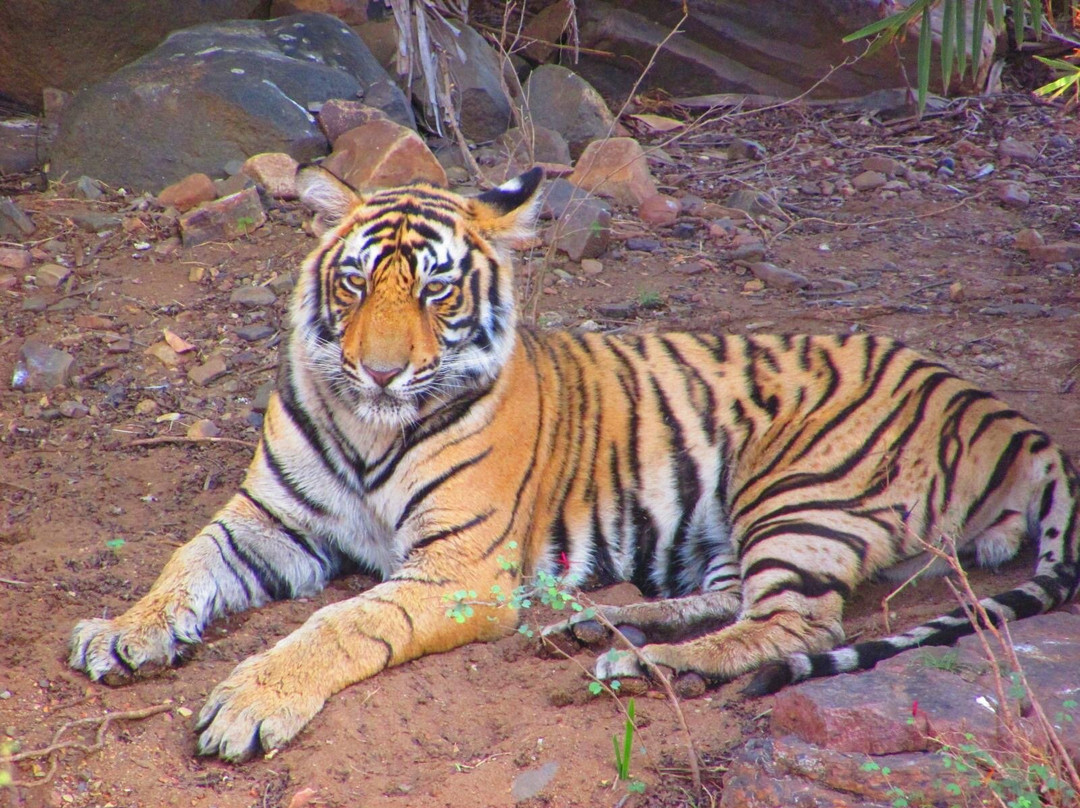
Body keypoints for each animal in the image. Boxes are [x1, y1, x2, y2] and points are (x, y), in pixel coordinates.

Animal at [69, 165, 1080, 763]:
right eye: (355, 283)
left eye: (436, 290)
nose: (382, 369)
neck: (369, 426)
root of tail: (990, 404)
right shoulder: (267, 521)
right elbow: (184, 563)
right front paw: (123, 631)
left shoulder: (458, 569)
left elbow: (341, 625)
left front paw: (249, 700)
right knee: (734, 600)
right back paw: (595, 626)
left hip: (799, 490)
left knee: (795, 623)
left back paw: (640, 667)